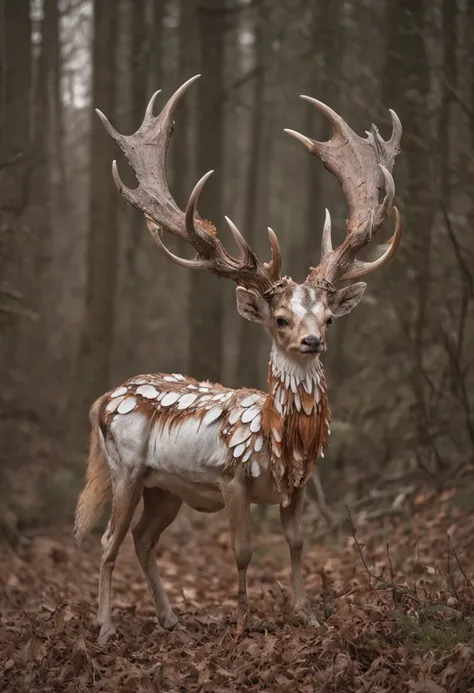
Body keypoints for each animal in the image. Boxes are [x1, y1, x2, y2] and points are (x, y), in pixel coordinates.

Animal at [73, 74, 400, 644]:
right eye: (281, 319)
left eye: (328, 319)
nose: (312, 342)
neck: (278, 433)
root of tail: (104, 399)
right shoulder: (230, 478)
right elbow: (244, 552)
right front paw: (244, 623)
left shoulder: (297, 486)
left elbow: (296, 543)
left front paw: (305, 613)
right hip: (125, 468)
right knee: (109, 539)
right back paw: (107, 627)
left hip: (166, 489)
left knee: (143, 539)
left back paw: (172, 620)